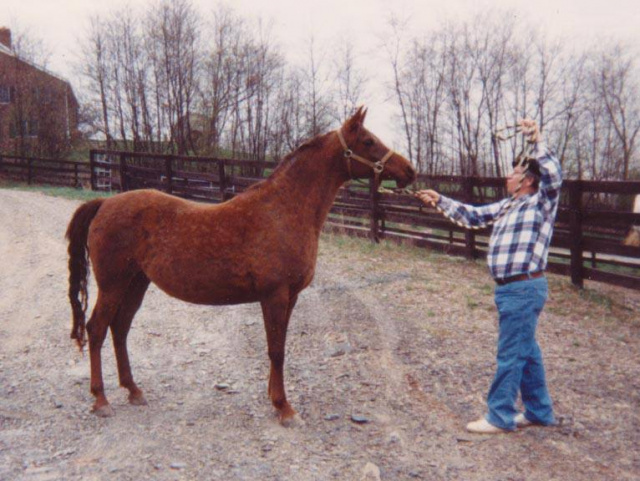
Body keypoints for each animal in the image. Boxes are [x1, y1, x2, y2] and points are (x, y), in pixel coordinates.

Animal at [65, 107, 416, 422]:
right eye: (368, 141)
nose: (409, 171)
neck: (283, 209)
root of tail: (104, 203)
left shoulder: (289, 297)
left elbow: (278, 346)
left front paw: (274, 397)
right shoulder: (275, 295)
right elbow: (276, 350)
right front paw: (284, 408)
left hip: (136, 282)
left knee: (120, 328)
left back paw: (134, 390)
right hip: (112, 284)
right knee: (97, 329)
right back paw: (101, 400)